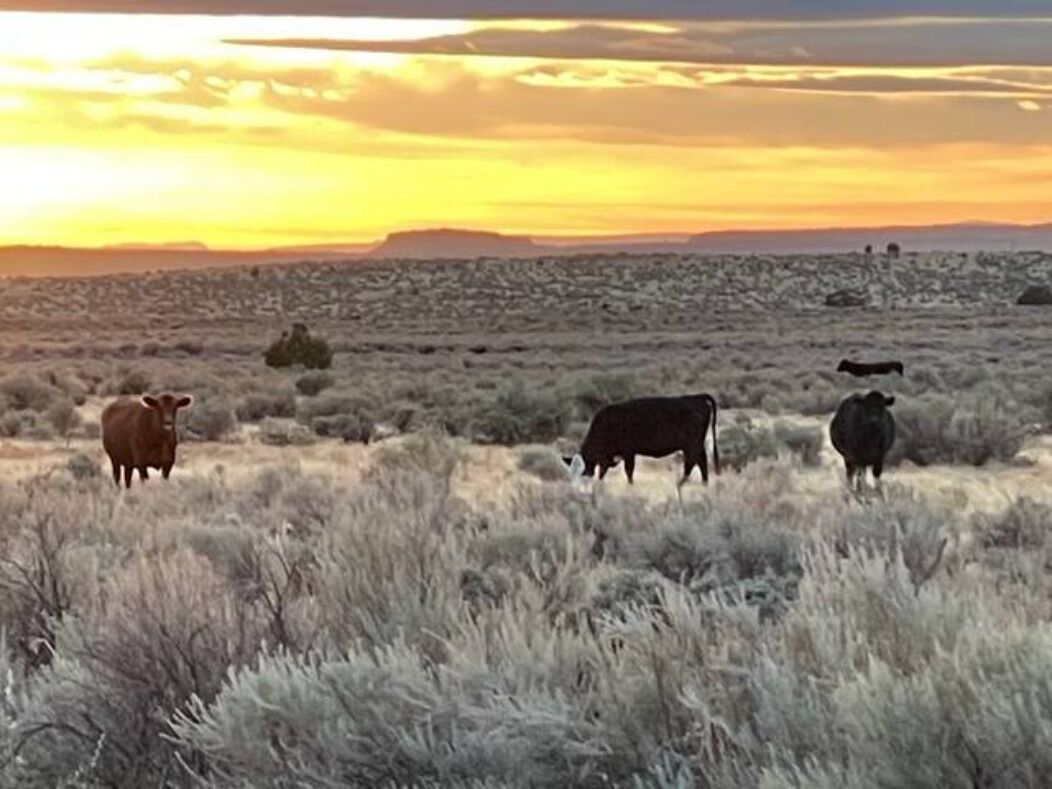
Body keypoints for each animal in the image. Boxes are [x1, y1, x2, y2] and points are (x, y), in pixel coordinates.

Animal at [563, 394, 720, 487]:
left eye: (582, 473)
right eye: (570, 474)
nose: (575, 490)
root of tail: (695, 398)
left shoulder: (628, 452)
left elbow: (628, 470)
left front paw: (630, 486)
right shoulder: (608, 457)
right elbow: (603, 471)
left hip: (691, 444)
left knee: (694, 462)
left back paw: (681, 484)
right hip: (696, 444)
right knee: (701, 461)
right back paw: (704, 483)